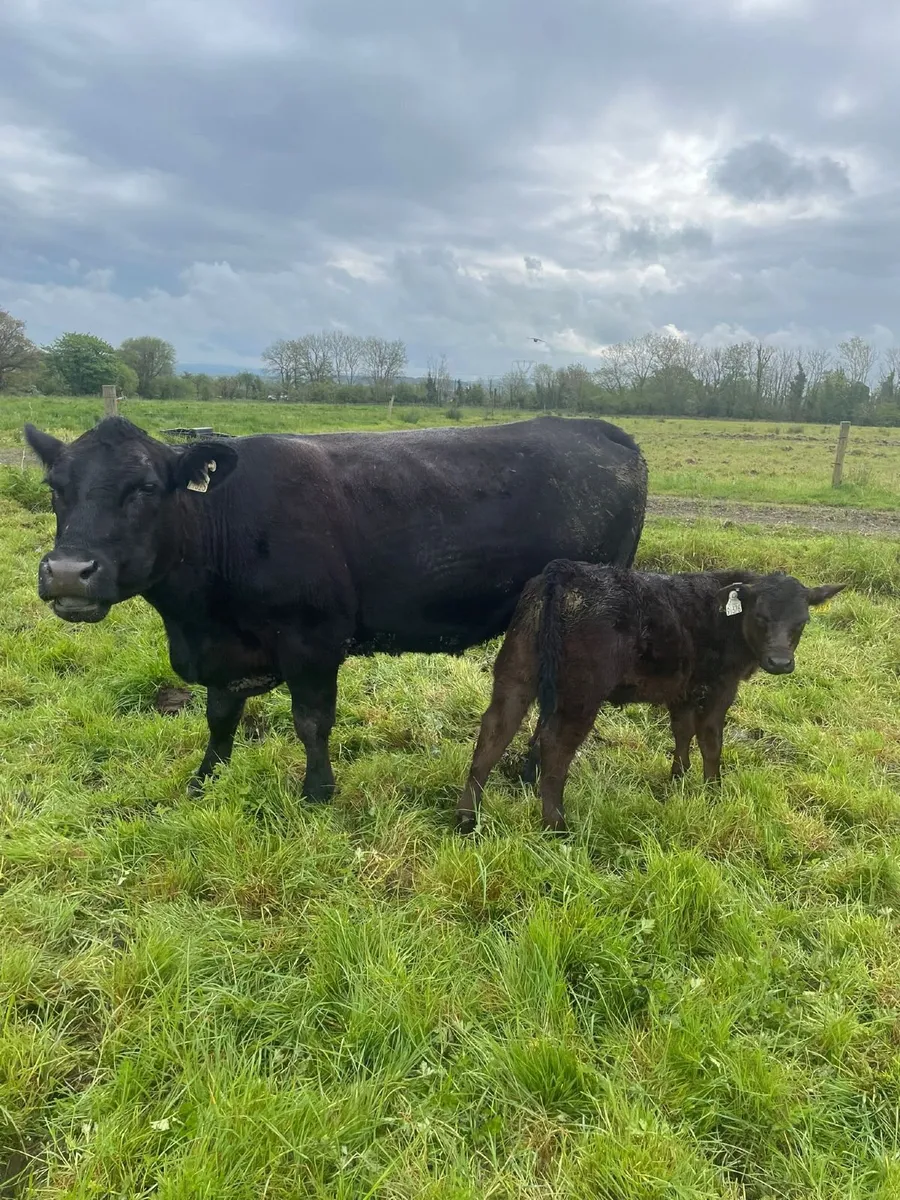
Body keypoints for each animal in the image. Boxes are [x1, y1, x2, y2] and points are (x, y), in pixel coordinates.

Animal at [24, 414, 648, 802]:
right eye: (56, 486)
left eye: (146, 488)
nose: (68, 572)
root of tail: (593, 427)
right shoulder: (224, 652)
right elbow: (220, 717)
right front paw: (206, 780)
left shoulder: (313, 640)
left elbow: (312, 721)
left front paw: (317, 793)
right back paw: (526, 772)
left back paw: (532, 773)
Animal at [456, 561, 844, 834]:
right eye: (761, 617)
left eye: (803, 621)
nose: (780, 662)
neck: (724, 613)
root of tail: (564, 573)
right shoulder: (719, 687)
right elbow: (710, 740)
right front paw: (713, 791)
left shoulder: (683, 689)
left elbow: (682, 731)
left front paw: (679, 779)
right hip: (581, 693)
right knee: (554, 745)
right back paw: (557, 826)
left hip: (516, 672)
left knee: (495, 730)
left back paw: (466, 818)